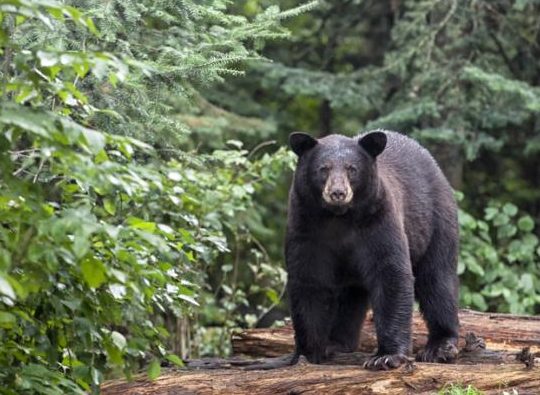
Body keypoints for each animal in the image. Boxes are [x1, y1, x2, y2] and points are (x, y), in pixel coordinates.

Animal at [286, 130, 460, 372]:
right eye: (323, 168)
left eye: (352, 168)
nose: (338, 193)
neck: (338, 217)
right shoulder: (305, 226)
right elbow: (308, 281)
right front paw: (309, 352)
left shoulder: (378, 219)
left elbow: (391, 273)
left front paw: (386, 356)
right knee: (350, 295)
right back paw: (337, 343)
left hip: (435, 222)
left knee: (437, 280)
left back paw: (440, 346)